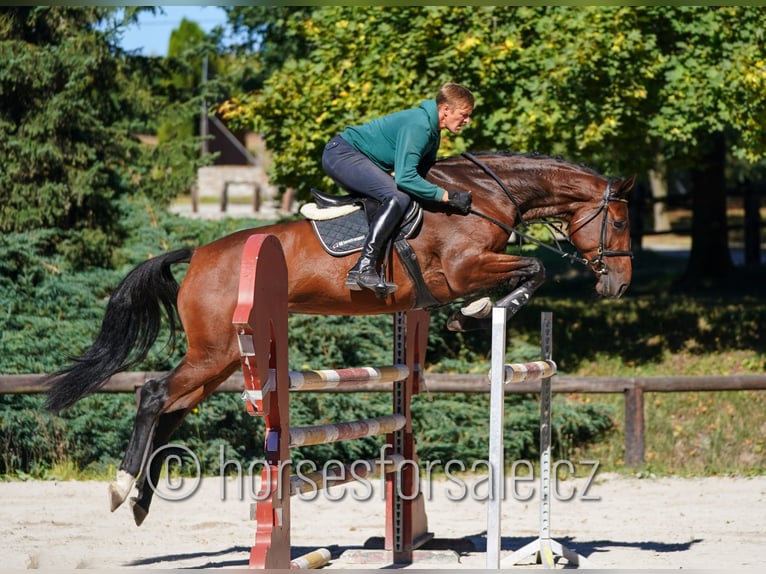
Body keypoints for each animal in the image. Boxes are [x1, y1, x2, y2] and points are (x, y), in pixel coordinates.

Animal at [45, 152, 640, 528]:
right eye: (619, 222)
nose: (619, 284)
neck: (483, 197)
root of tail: (198, 253)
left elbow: (530, 270)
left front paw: (471, 315)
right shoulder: (464, 268)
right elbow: (534, 268)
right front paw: (476, 312)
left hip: (219, 361)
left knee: (171, 410)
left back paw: (141, 501)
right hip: (213, 353)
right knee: (152, 395)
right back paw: (122, 487)